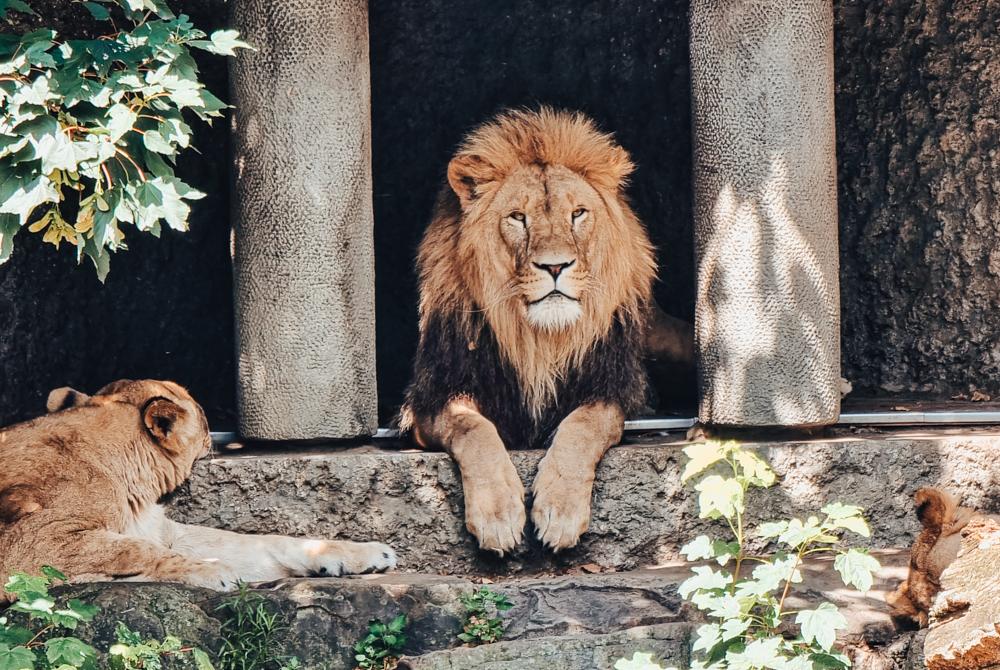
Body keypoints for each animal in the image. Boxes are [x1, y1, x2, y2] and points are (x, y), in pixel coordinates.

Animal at [0, 380, 398, 596]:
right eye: (205, 417)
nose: (216, 435)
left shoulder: (160, 529)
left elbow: (262, 542)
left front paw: (370, 552)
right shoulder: (36, 542)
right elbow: (133, 550)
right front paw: (215, 573)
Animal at [398, 106, 656, 556]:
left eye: (577, 214)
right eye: (518, 218)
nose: (555, 266)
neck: (538, 341)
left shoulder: (612, 388)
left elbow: (584, 425)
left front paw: (560, 511)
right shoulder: (431, 398)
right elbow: (472, 429)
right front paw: (498, 515)